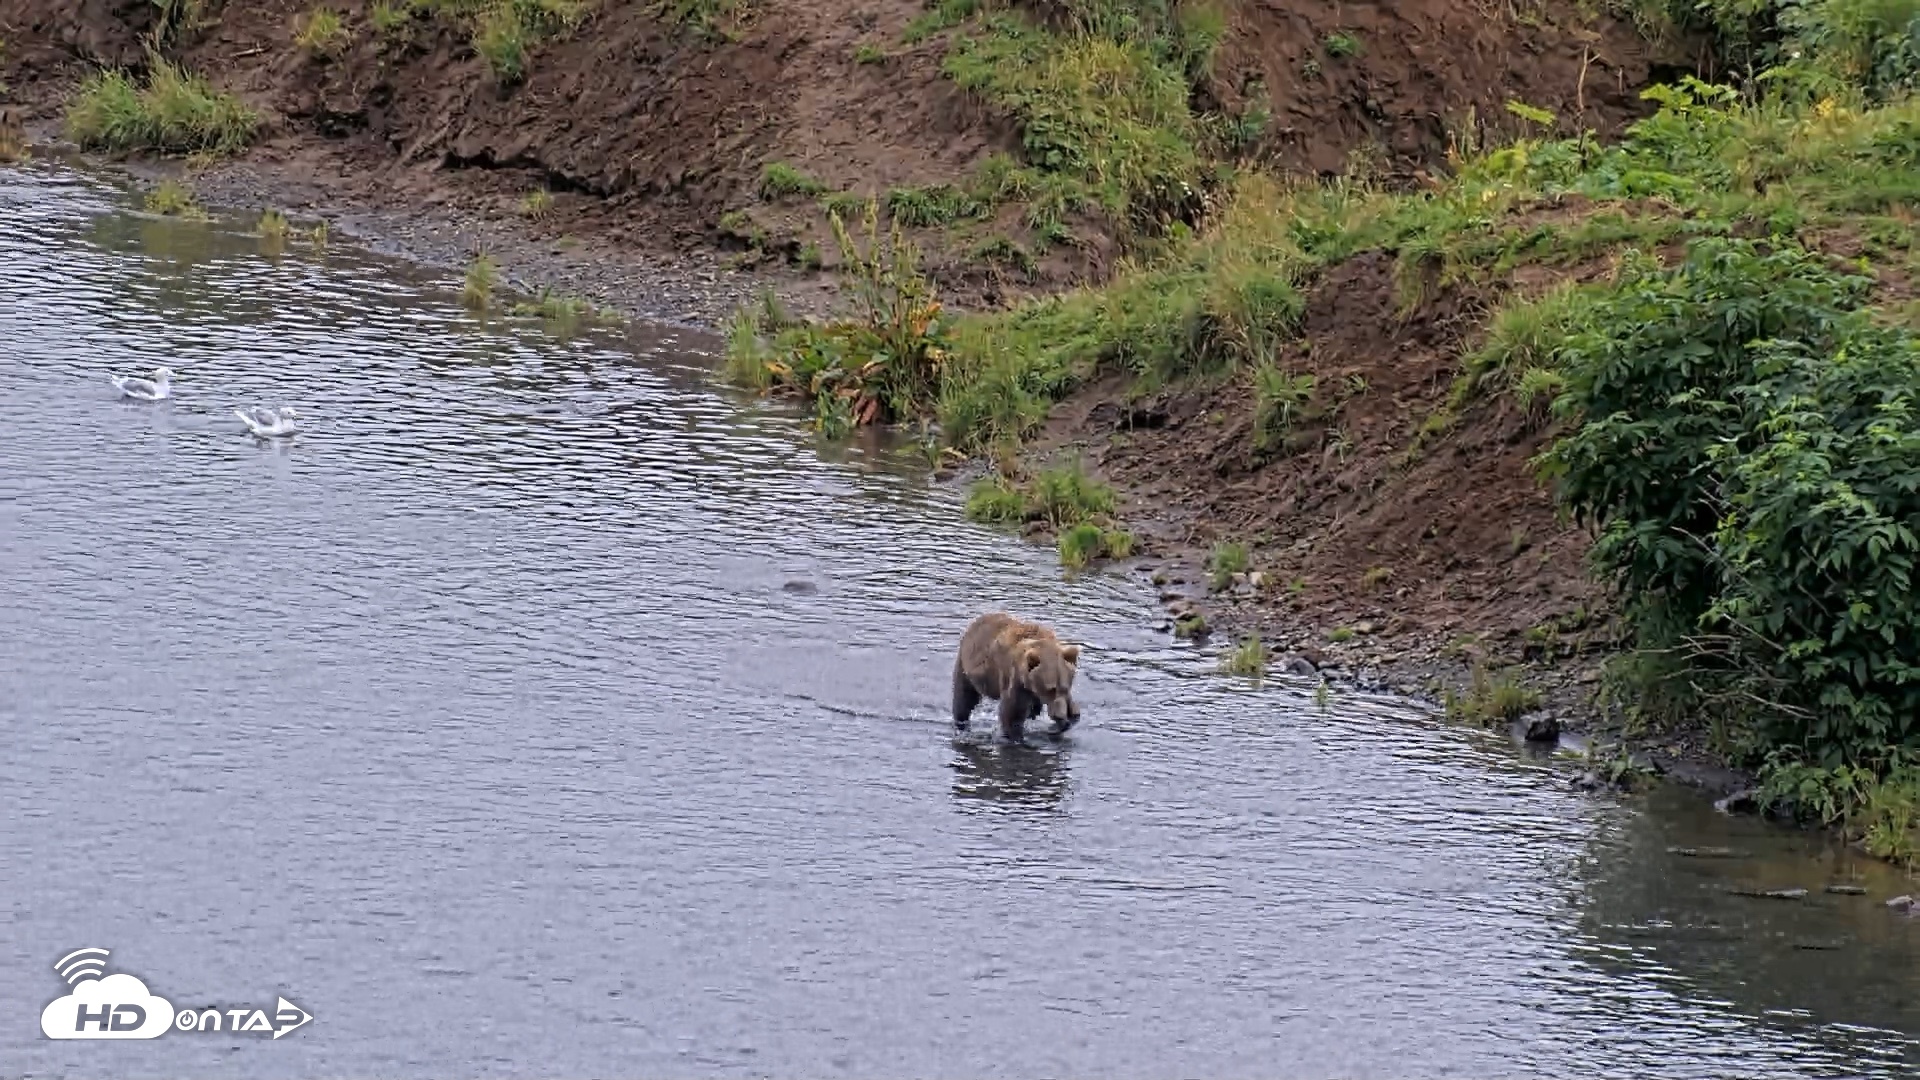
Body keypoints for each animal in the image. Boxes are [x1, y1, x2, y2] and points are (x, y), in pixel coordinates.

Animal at [952, 612, 1082, 744]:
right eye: (1051, 688)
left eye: (1065, 686)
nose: (1060, 716)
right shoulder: (1015, 680)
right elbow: (1012, 715)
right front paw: (1016, 737)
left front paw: (1064, 722)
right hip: (966, 667)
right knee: (964, 698)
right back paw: (961, 723)